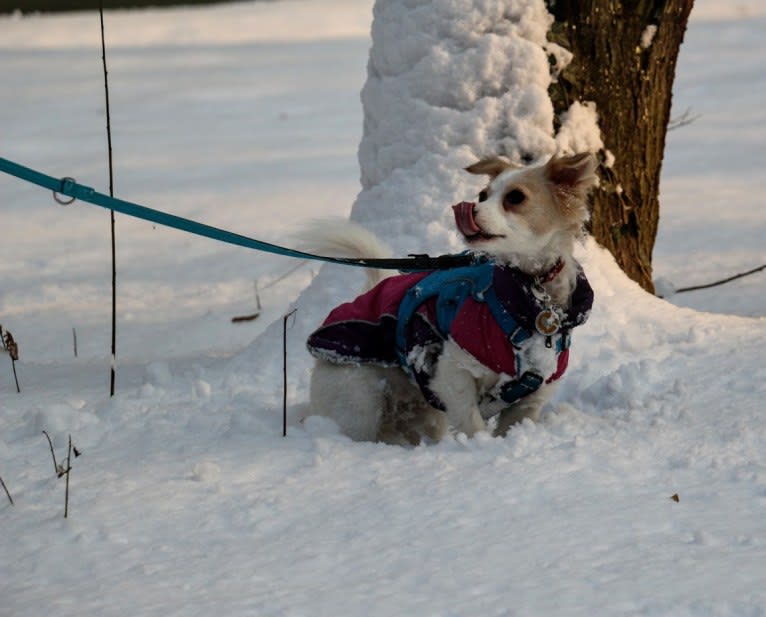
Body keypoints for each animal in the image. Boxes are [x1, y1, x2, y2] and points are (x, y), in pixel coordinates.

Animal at [304, 152, 596, 446]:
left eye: (515, 197)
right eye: (483, 195)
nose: (471, 208)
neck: (528, 296)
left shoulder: (530, 400)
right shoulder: (452, 372)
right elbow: (472, 422)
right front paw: (479, 445)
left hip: (420, 415)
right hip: (358, 399)